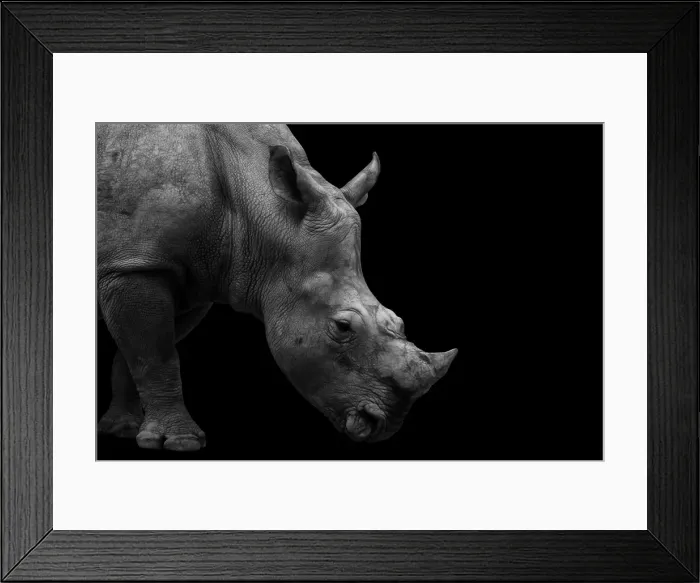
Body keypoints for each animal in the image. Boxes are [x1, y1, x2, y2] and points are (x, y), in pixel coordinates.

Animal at [97, 123, 458, 451]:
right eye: (342, 327)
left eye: (399, 321)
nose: (384, 425)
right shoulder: (137, 264)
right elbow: (156, 356)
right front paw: (179, 442)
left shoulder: (188, 277)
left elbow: (139, 353)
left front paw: (121, 430)